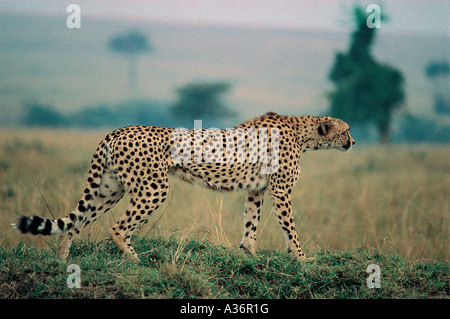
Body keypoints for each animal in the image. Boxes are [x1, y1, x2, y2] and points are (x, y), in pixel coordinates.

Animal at [14, 112, 356, 262]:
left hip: (110, 188)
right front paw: (303, 259)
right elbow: (290, 226)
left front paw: (249, 254)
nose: (353, 141)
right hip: (154, 187)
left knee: (75, 223)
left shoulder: (257, 189)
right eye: (347, 129)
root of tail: (117, 130)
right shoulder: (280, 190)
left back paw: (63, 261)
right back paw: (134, 259)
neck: (302, 131)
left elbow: (251, 223)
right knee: (118, 227)